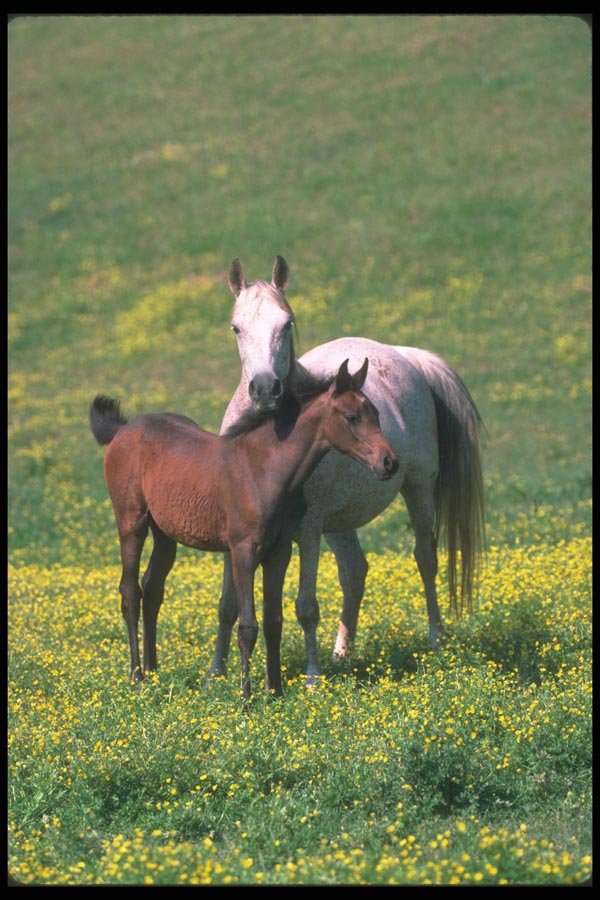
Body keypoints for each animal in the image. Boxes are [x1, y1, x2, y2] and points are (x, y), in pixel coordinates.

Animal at [90, 358, 398, 700]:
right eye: (351, 417)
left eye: (376, 414)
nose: (389, 463)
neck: (264, 470)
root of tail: (123, 429)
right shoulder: (243, 551)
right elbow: (247, 625)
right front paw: (246, 697)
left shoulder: (279, 551)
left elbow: (274, 620)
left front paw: (275, 691)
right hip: (132, 523)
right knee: (131, 592)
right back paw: (137, 677)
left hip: (165, 533)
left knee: (153, 589)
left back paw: (154, 672)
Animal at [209, 256, 485, 683]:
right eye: (236, 327)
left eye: (286, 323)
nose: (266, 390)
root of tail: (406, 357)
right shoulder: (234, 529)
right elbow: (227, 605)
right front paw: (215, 674)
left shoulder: (307, 532)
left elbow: (305, 607)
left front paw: (311, 678)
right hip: (339, 522)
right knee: (354, 571)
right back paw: (343, 655)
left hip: (419, 489)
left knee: (426, 558)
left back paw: (436, 639)